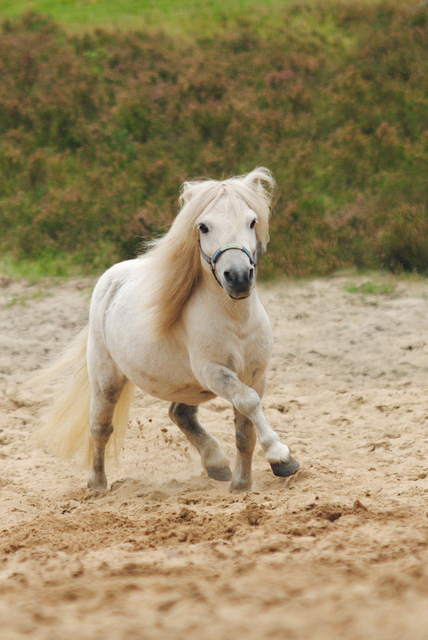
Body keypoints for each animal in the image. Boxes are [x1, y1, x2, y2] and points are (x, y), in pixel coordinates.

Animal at [33, 168, 300, 492]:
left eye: (252, 221)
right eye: (203, 227)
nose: (238, 278)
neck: (236, 321)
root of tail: (112, 278)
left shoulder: (256, 374)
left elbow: (245, 429)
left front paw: (242, 485)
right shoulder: (214, 372)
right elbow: (248, 402)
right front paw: (281, 457)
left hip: (185, 385)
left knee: (179, 414)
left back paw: (216, 464)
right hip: (106, 379)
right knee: (100, 426)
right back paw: (97, 485)